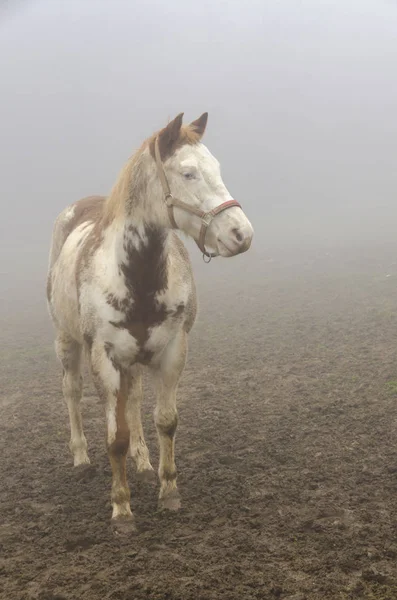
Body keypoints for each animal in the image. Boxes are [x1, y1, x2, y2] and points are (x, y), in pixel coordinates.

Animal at [45, 110, 251, 528]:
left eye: (216, 167)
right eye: (188, 173)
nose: (242, 234)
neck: (134, 276)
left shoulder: (171, 350)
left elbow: (164, 421)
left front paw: (168, 492)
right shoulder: (104, 359)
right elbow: (115, 438)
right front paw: (122, 508)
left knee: (135, 399)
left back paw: (142, 461)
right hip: (67, 341)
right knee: (72, 391)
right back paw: (81, 457)